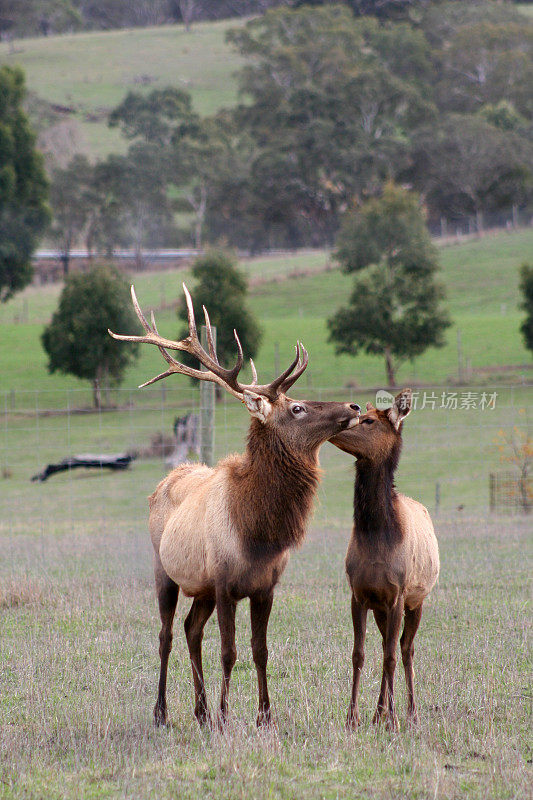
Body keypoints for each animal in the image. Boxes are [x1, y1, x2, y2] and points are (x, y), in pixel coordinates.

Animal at [108, 284, 360, 728]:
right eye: (297, 407)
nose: (354, 407)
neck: (257, 533)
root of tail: (166, 479)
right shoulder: (225, 583)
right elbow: (229, 652)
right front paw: (228, 716)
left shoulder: (265, 587)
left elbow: (261, 651)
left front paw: (264, 716)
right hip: (163, 568)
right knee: (166, 634)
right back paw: (163, 712)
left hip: (201, 587)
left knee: (191, 629)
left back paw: (200, 710)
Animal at [330, 390, 438, 732]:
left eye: (368, 421)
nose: (337, 425)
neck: (377, 539)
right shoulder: (360, 594)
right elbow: (359, 654)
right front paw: (352, 717)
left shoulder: (397, 595)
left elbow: (391, 656)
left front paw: (394, 720)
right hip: (381, 608)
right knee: (385, 646)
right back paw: (378, 712)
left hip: (416, 601)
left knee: (405, 649)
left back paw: (410, 713)